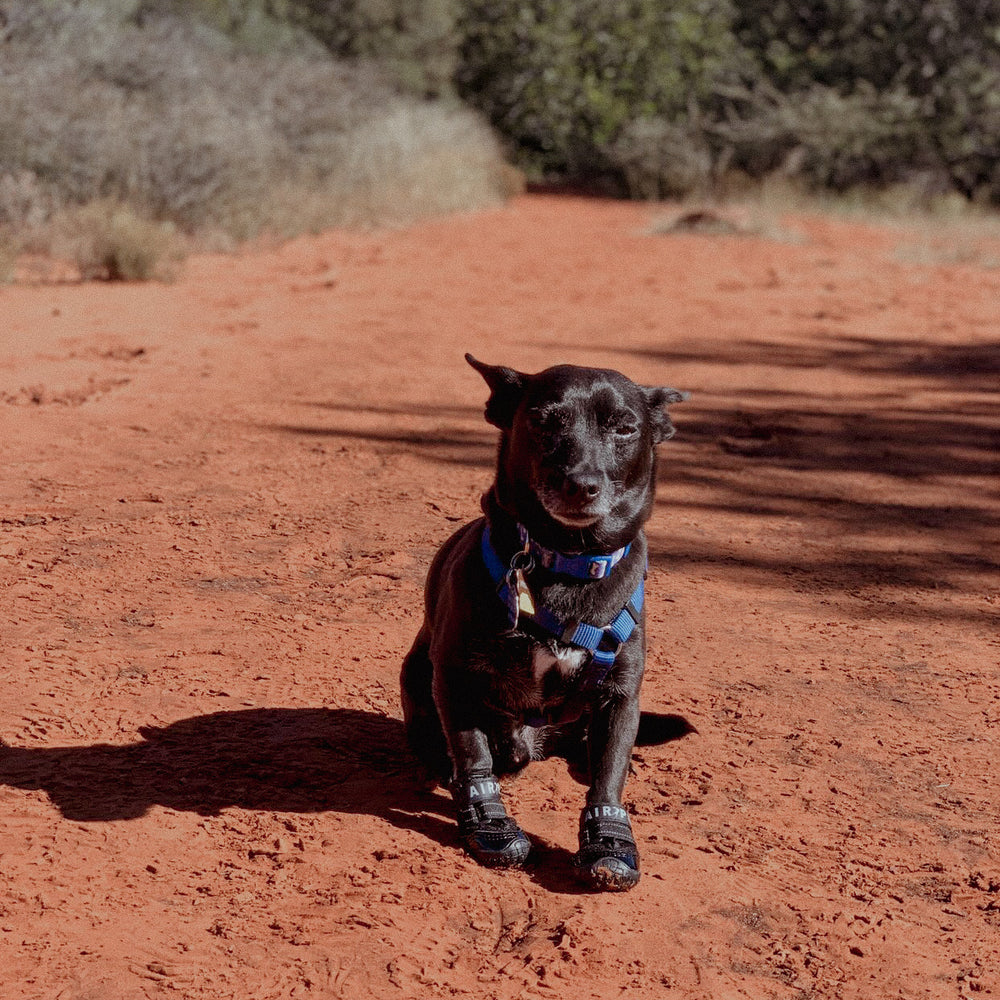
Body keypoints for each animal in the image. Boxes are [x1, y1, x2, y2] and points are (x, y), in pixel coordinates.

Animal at [402, 354, 684, 892]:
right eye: (542, 421)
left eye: (625, 427)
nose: (581, 483)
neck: (566, 563)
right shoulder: (455, 678)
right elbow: (472, 753)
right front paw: (488, 824)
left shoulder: (621, 695)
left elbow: (610, 775)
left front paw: (608, 842)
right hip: (416, 674)